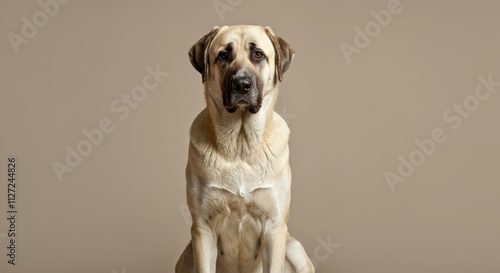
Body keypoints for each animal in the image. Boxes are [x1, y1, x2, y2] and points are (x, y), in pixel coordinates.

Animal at [176, 25, 314, 272]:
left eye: (258, 54)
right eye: (223, 55)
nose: (242, 84)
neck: (240, 145)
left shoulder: (274, 228)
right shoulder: (202, 229)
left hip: (293, 247)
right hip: (189, 252)